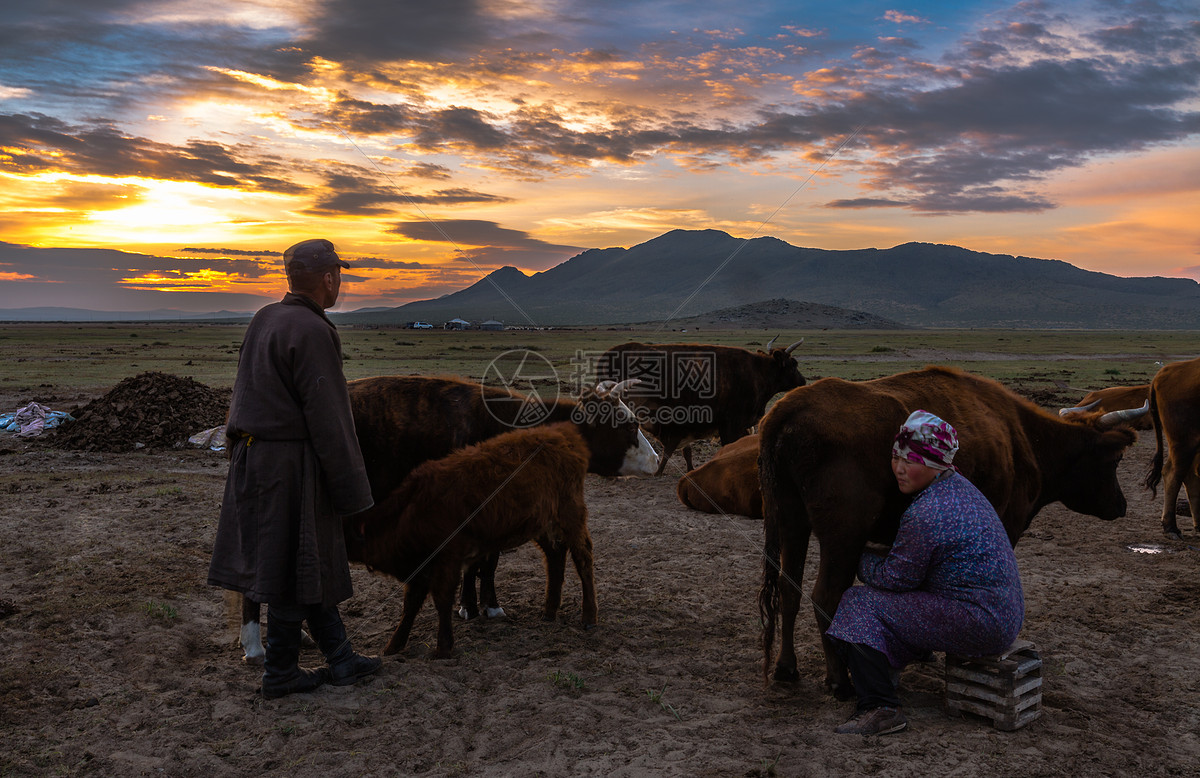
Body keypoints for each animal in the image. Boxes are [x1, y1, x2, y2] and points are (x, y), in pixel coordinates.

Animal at [758, 367, 1142, 701]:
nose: (1121, 505)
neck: (1022, 439)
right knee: (825, 597)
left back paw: (786, 668)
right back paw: (840, 681)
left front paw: (923, 650)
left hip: (792, 523)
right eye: (1114, 460)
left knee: (788, 590)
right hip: (843, 537)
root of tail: (788, 408)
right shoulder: (1008, 524)